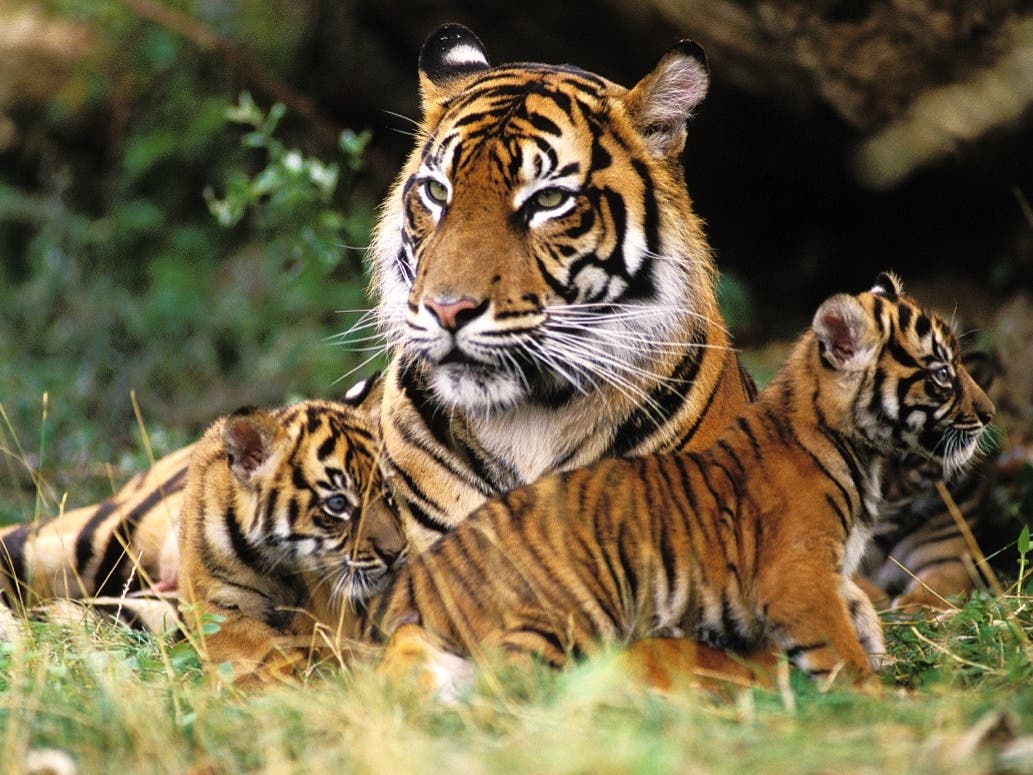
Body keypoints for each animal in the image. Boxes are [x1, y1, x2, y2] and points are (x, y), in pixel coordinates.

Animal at [176, 387, 406, 683]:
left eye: (386, 492)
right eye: (337, 503)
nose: (396, 553)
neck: (273, 565)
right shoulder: (215, 601)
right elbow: (254, 645)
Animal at [368, 273, 995, 692]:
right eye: (943, 374)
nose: (989, 415)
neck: (858, 451)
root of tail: (419, 583)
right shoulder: (797, 577)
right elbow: (838, 649)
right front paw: (872, 696)